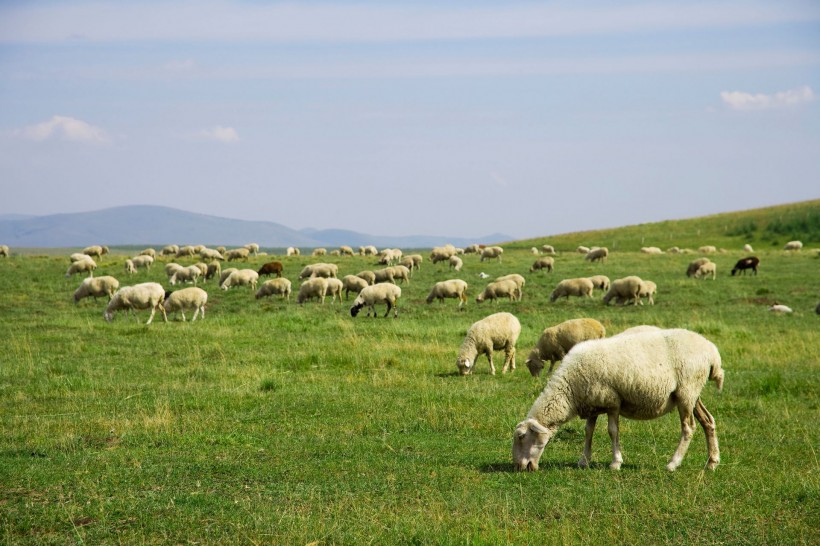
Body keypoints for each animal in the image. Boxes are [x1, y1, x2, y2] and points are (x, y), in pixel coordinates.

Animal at [512, 326, 724, 470]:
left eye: (521, 437)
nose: (519, 467)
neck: (570, 389)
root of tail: (712, 351)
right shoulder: (592, 403)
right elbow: (588, 431)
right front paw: (584, 460)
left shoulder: (612, 402)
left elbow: (612, 431)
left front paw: (616, 462)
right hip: (693, 394)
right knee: (708, 421)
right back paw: (712, 462)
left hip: (687, 392)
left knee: (688, 428)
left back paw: (673, 463)